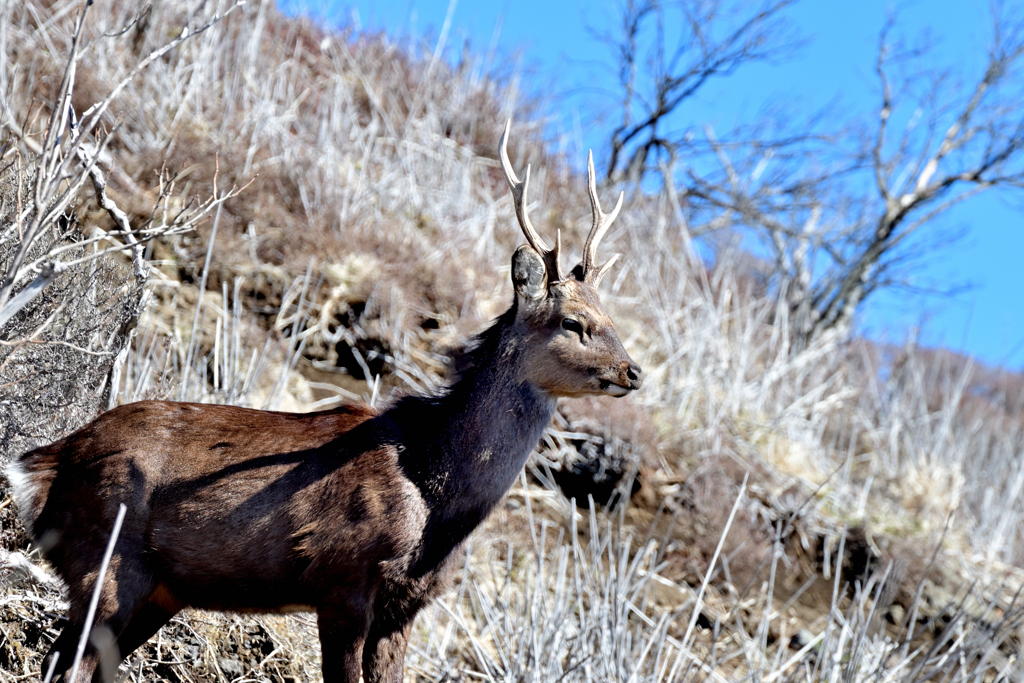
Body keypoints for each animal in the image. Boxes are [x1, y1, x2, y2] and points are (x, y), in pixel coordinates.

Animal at [8, 122, 643, 683]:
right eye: (574, 322)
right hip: (108, 562)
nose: (633, 371)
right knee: (66, 665)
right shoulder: (344, 581)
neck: (433, 492)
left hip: (159, 587)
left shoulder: (405, 607)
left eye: (611, 317)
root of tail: (42, 463)